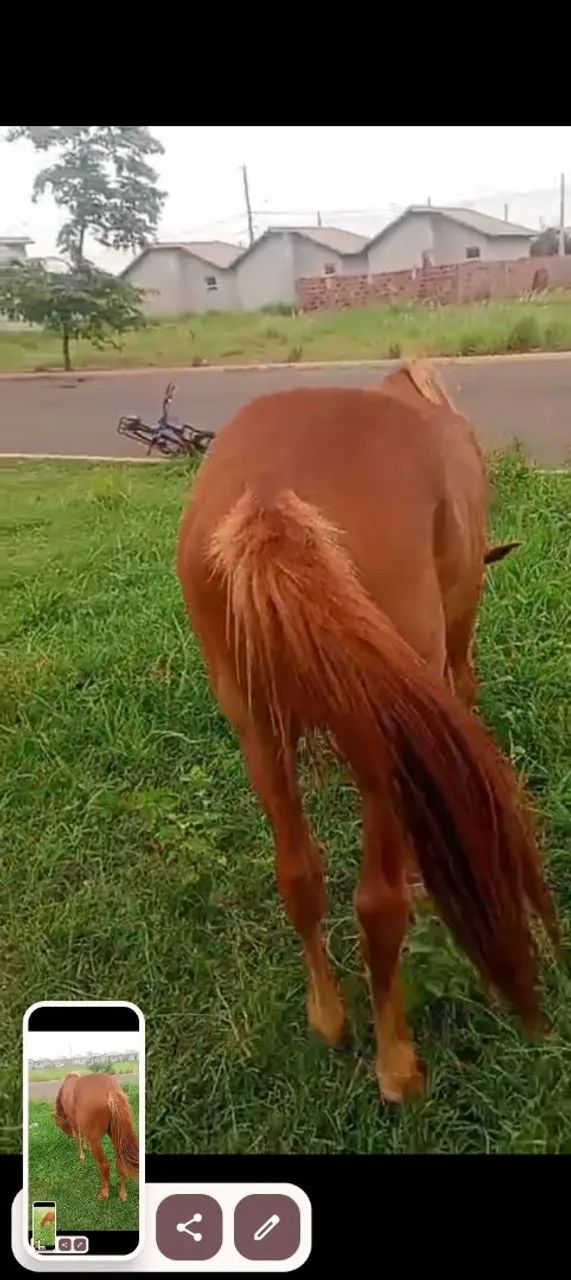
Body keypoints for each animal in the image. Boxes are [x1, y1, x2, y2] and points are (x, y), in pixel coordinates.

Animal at [54, 1072, 138, 1201]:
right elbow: (82, 1136)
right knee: (120, 1163)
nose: (68, 1134)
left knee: (105, 1165)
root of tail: (110, 1089)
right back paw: (122, 1194)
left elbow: (78, 1138)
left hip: (95, 1140)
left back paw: (104, 1193)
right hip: (116, 1135)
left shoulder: (74, 1121)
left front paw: (82, 1156)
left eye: (59, 1124)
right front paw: (85, 1148)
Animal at [176, 360, 557, 1103]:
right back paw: (397, 1067)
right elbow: (464, 687)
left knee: (299, 872)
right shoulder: (453, 643)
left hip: (257, 728)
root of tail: (270, 497)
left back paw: (328, 1018)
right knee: (377, 903)